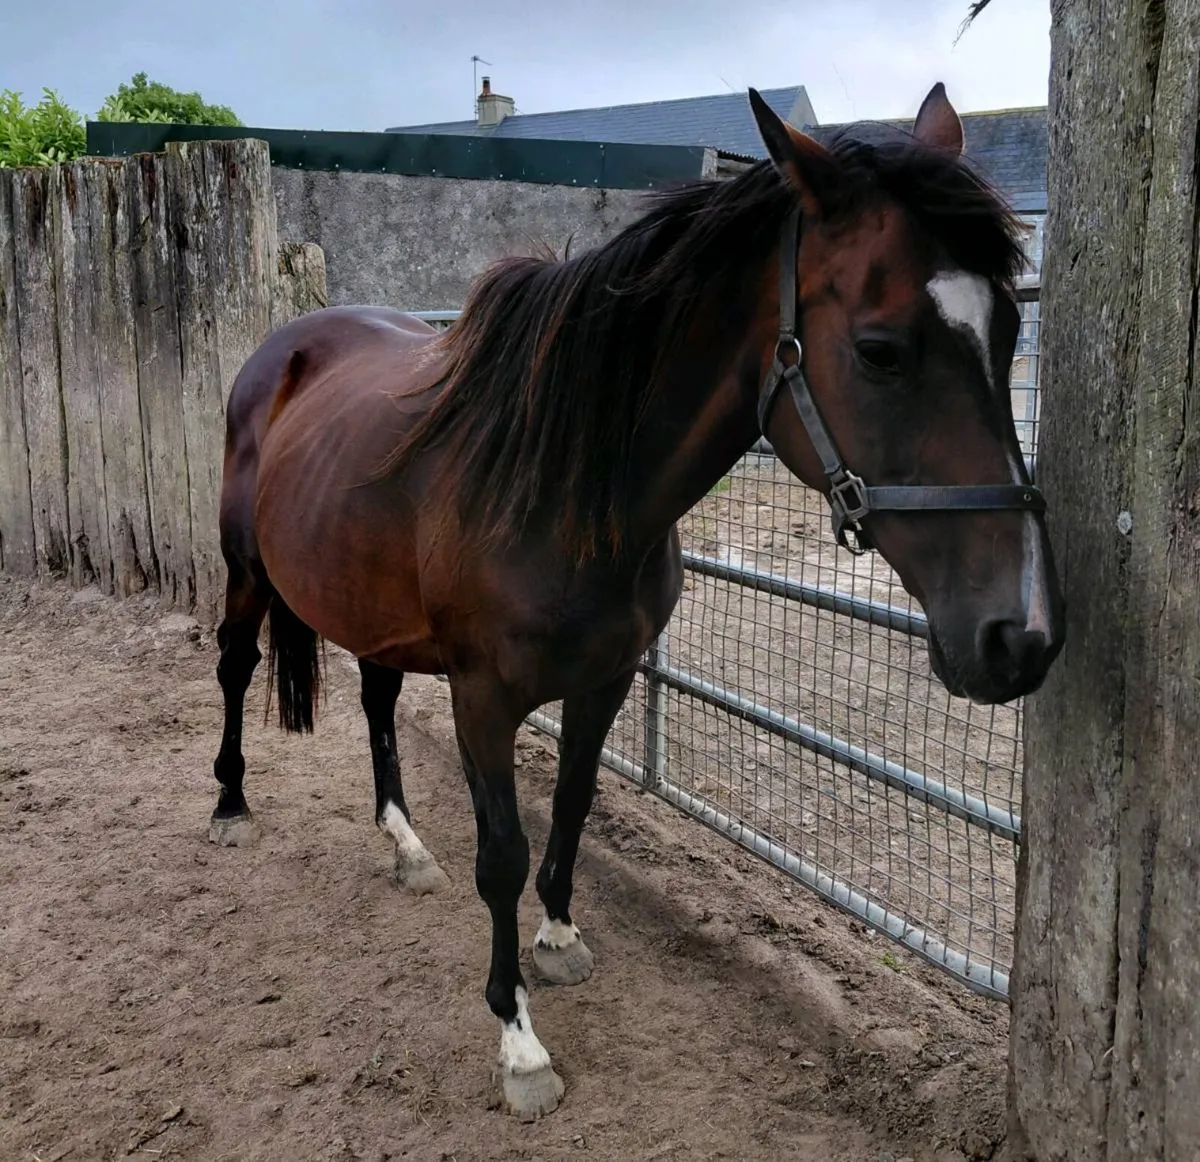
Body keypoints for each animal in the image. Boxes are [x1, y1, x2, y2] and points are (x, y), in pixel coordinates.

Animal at [208, 82, 1064, 1118]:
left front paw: (560, 937)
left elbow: (574, 804)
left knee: (375, 702)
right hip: (247, 573)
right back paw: (229, 802)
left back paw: (406, 845)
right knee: (235, 667)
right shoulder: (482, 700)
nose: (1022, 635)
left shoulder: (607, 679)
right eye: (880, 351)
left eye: (1010, 332)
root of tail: (283, 351)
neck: (566, 494)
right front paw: (518, 1040)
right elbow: (502, 853)